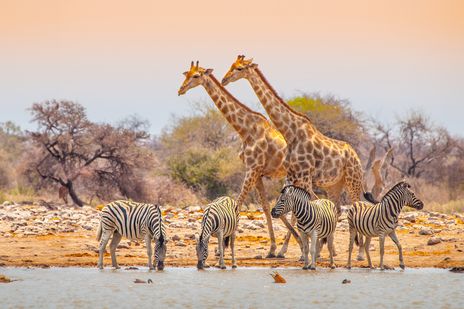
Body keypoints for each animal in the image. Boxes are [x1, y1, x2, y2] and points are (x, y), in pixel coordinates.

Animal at [176, 60, 302, 258]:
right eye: (186, 74)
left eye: (196, 76)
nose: (180, 89)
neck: (245, 130)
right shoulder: (257, 173)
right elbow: (264, 207)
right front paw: (271, 248)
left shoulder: (252, 169)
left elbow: (239, 204)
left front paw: (224, 246)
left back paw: (289, 249)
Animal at [223, 56, 372, 260]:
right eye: (231, 65)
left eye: (239, 68)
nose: (224, 79)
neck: (290, 132)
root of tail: (356, 156)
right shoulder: (295, 176)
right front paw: (307, 250)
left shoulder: (305, 176)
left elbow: (309, 208)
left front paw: (306, 250)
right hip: (334, 185)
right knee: (337, 207)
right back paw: (329, 248)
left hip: (353, 180)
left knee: (356, 207)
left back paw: (359, 253)